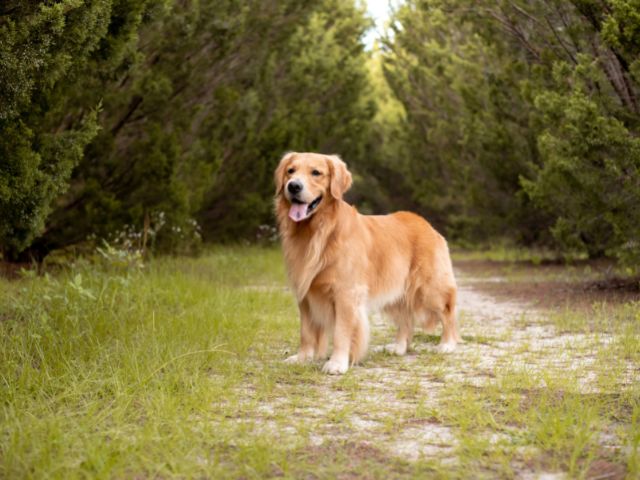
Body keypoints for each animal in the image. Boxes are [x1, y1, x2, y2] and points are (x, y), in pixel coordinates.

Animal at [276, 152, 460, 374]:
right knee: (405, 319)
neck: (319, 231)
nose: (293, 186)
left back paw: (447, 344)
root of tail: (424, 222)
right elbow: (306, 331)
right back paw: (398, 347)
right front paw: (302, 358)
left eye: (316, 172)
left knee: (448, 312)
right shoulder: (305, 293)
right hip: (396, 290)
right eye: (290, 171)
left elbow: (341, 332)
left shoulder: (346, 293)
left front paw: (337, 363)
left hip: (429, 288)